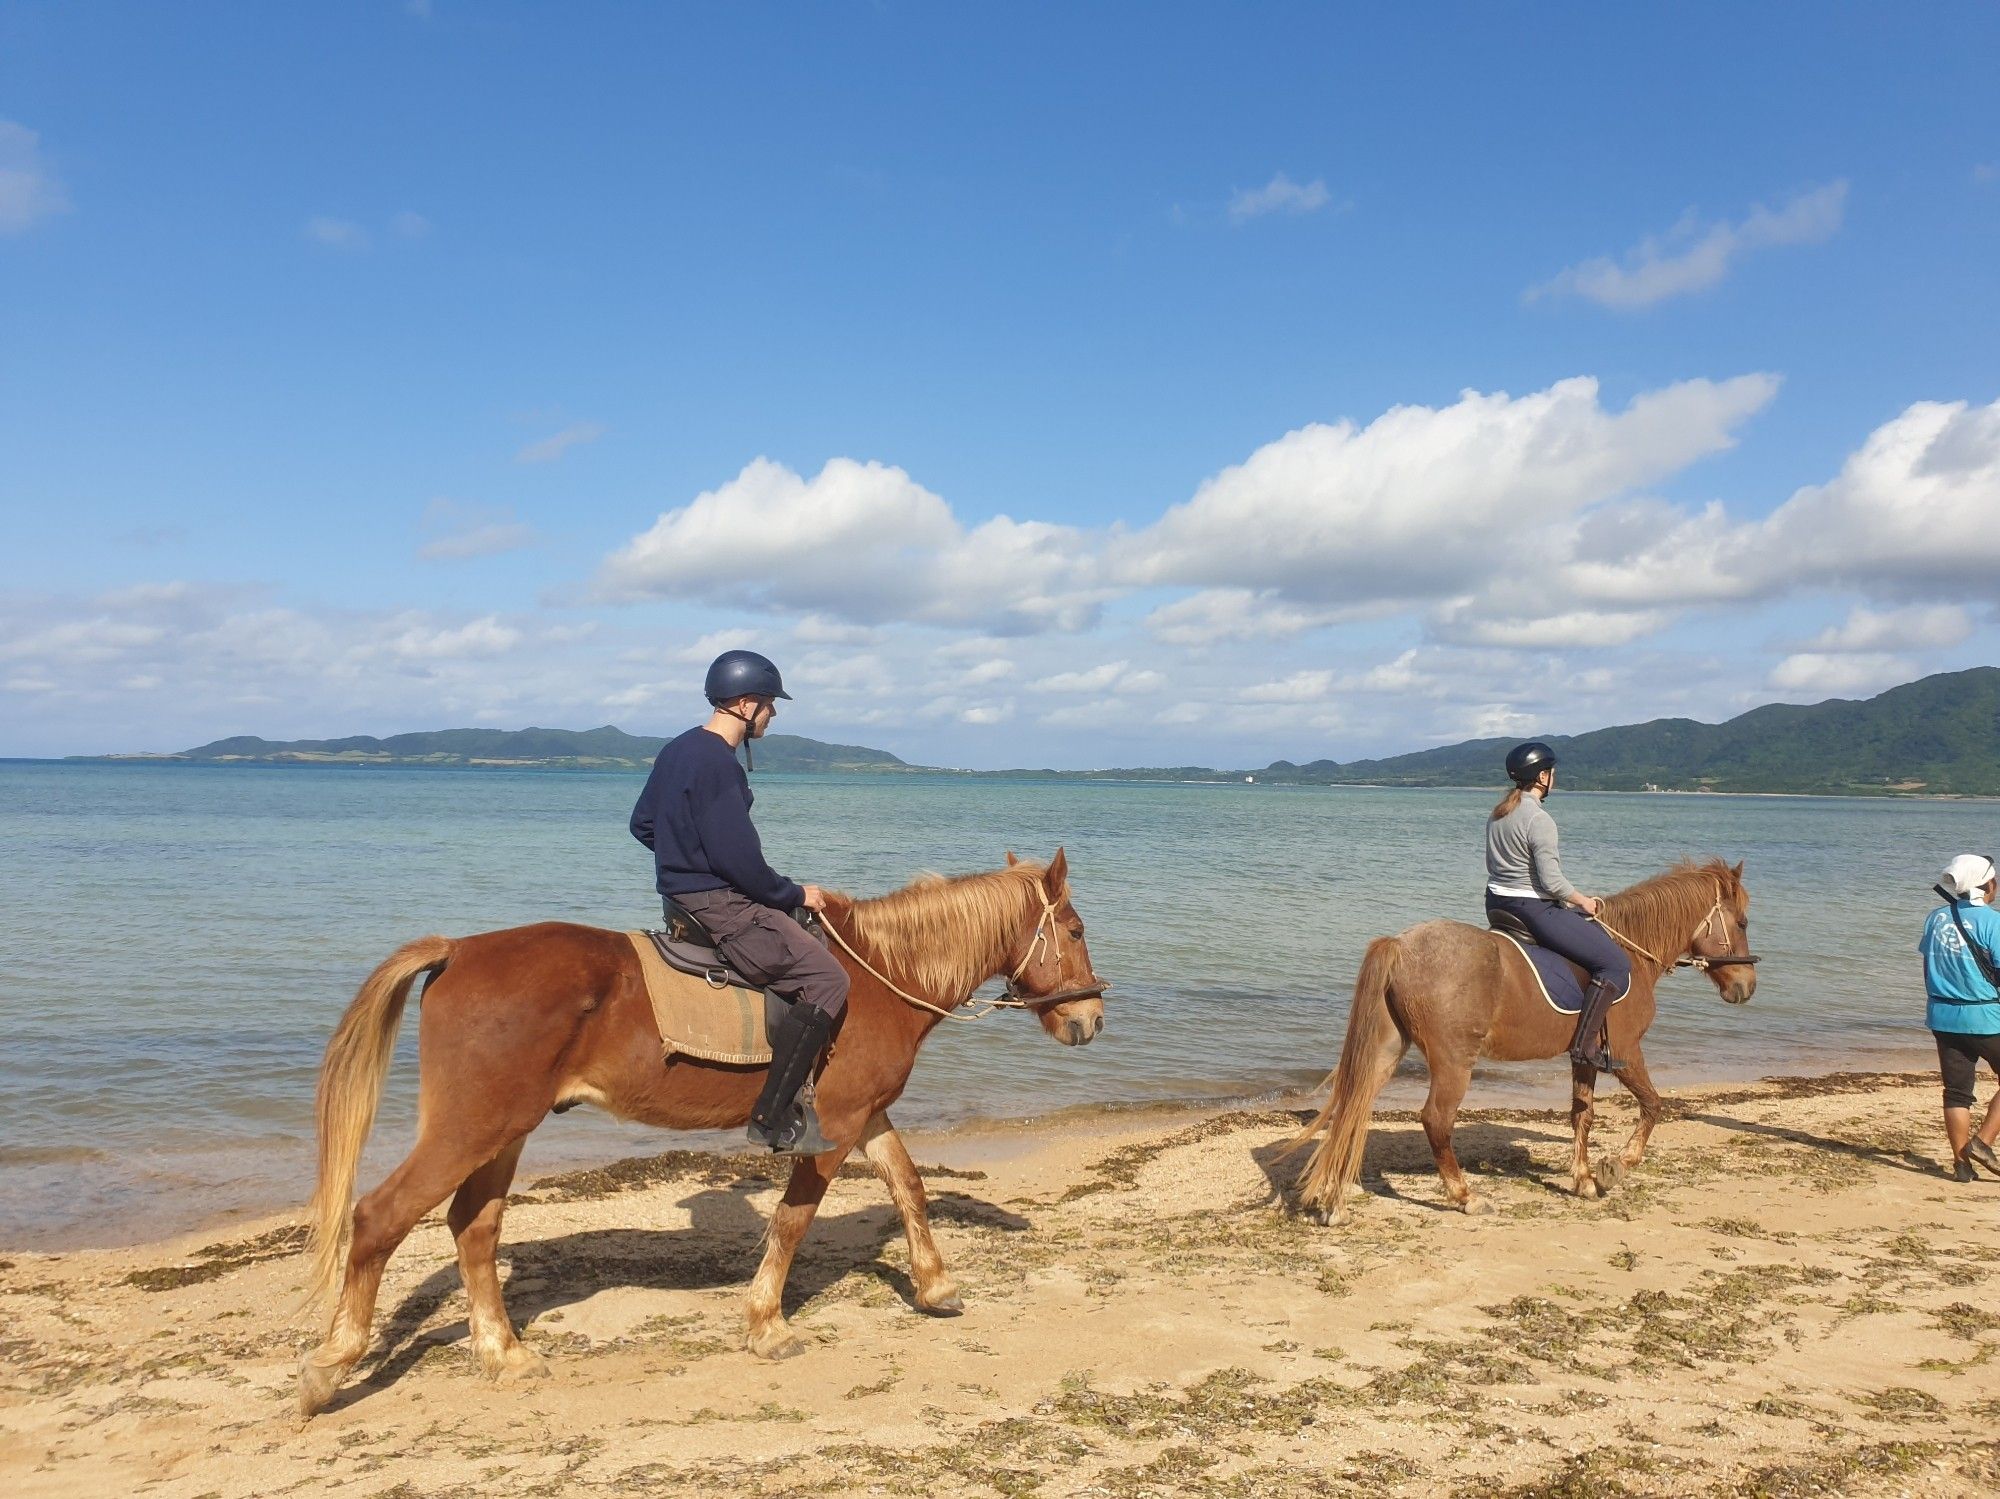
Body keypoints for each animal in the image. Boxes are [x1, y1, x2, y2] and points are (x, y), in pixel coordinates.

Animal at [298, 851, 1112, 1423]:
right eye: (1074, 931)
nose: (1091, 1020)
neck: (879, 976)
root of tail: (460, 950)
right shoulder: (833, 1127)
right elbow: (793, 1221)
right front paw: (767, 1324)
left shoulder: (868, 1116)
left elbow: (908, 1185)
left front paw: (935, 1285)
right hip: (474, 1127)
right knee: (380, 1217)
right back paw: (331, 1366)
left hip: (502, 1133)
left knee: (474, 1227)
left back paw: (504, 1353)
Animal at [1296, 863, 1752, 1223]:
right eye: (1743, 923)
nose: (1747, 986)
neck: (1630, 953)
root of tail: (1402, 944)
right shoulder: (1625, 1051)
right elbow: (1654, 1105)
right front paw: (1616, 1166)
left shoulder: (1584, 1057)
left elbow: (1582, 1115)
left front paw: (1584, 1179)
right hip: (1453, 1061)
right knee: (1435, 1120)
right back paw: (1465, 1197)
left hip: (1385, 1052)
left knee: (1353, 1108)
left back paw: (1334, 1202)